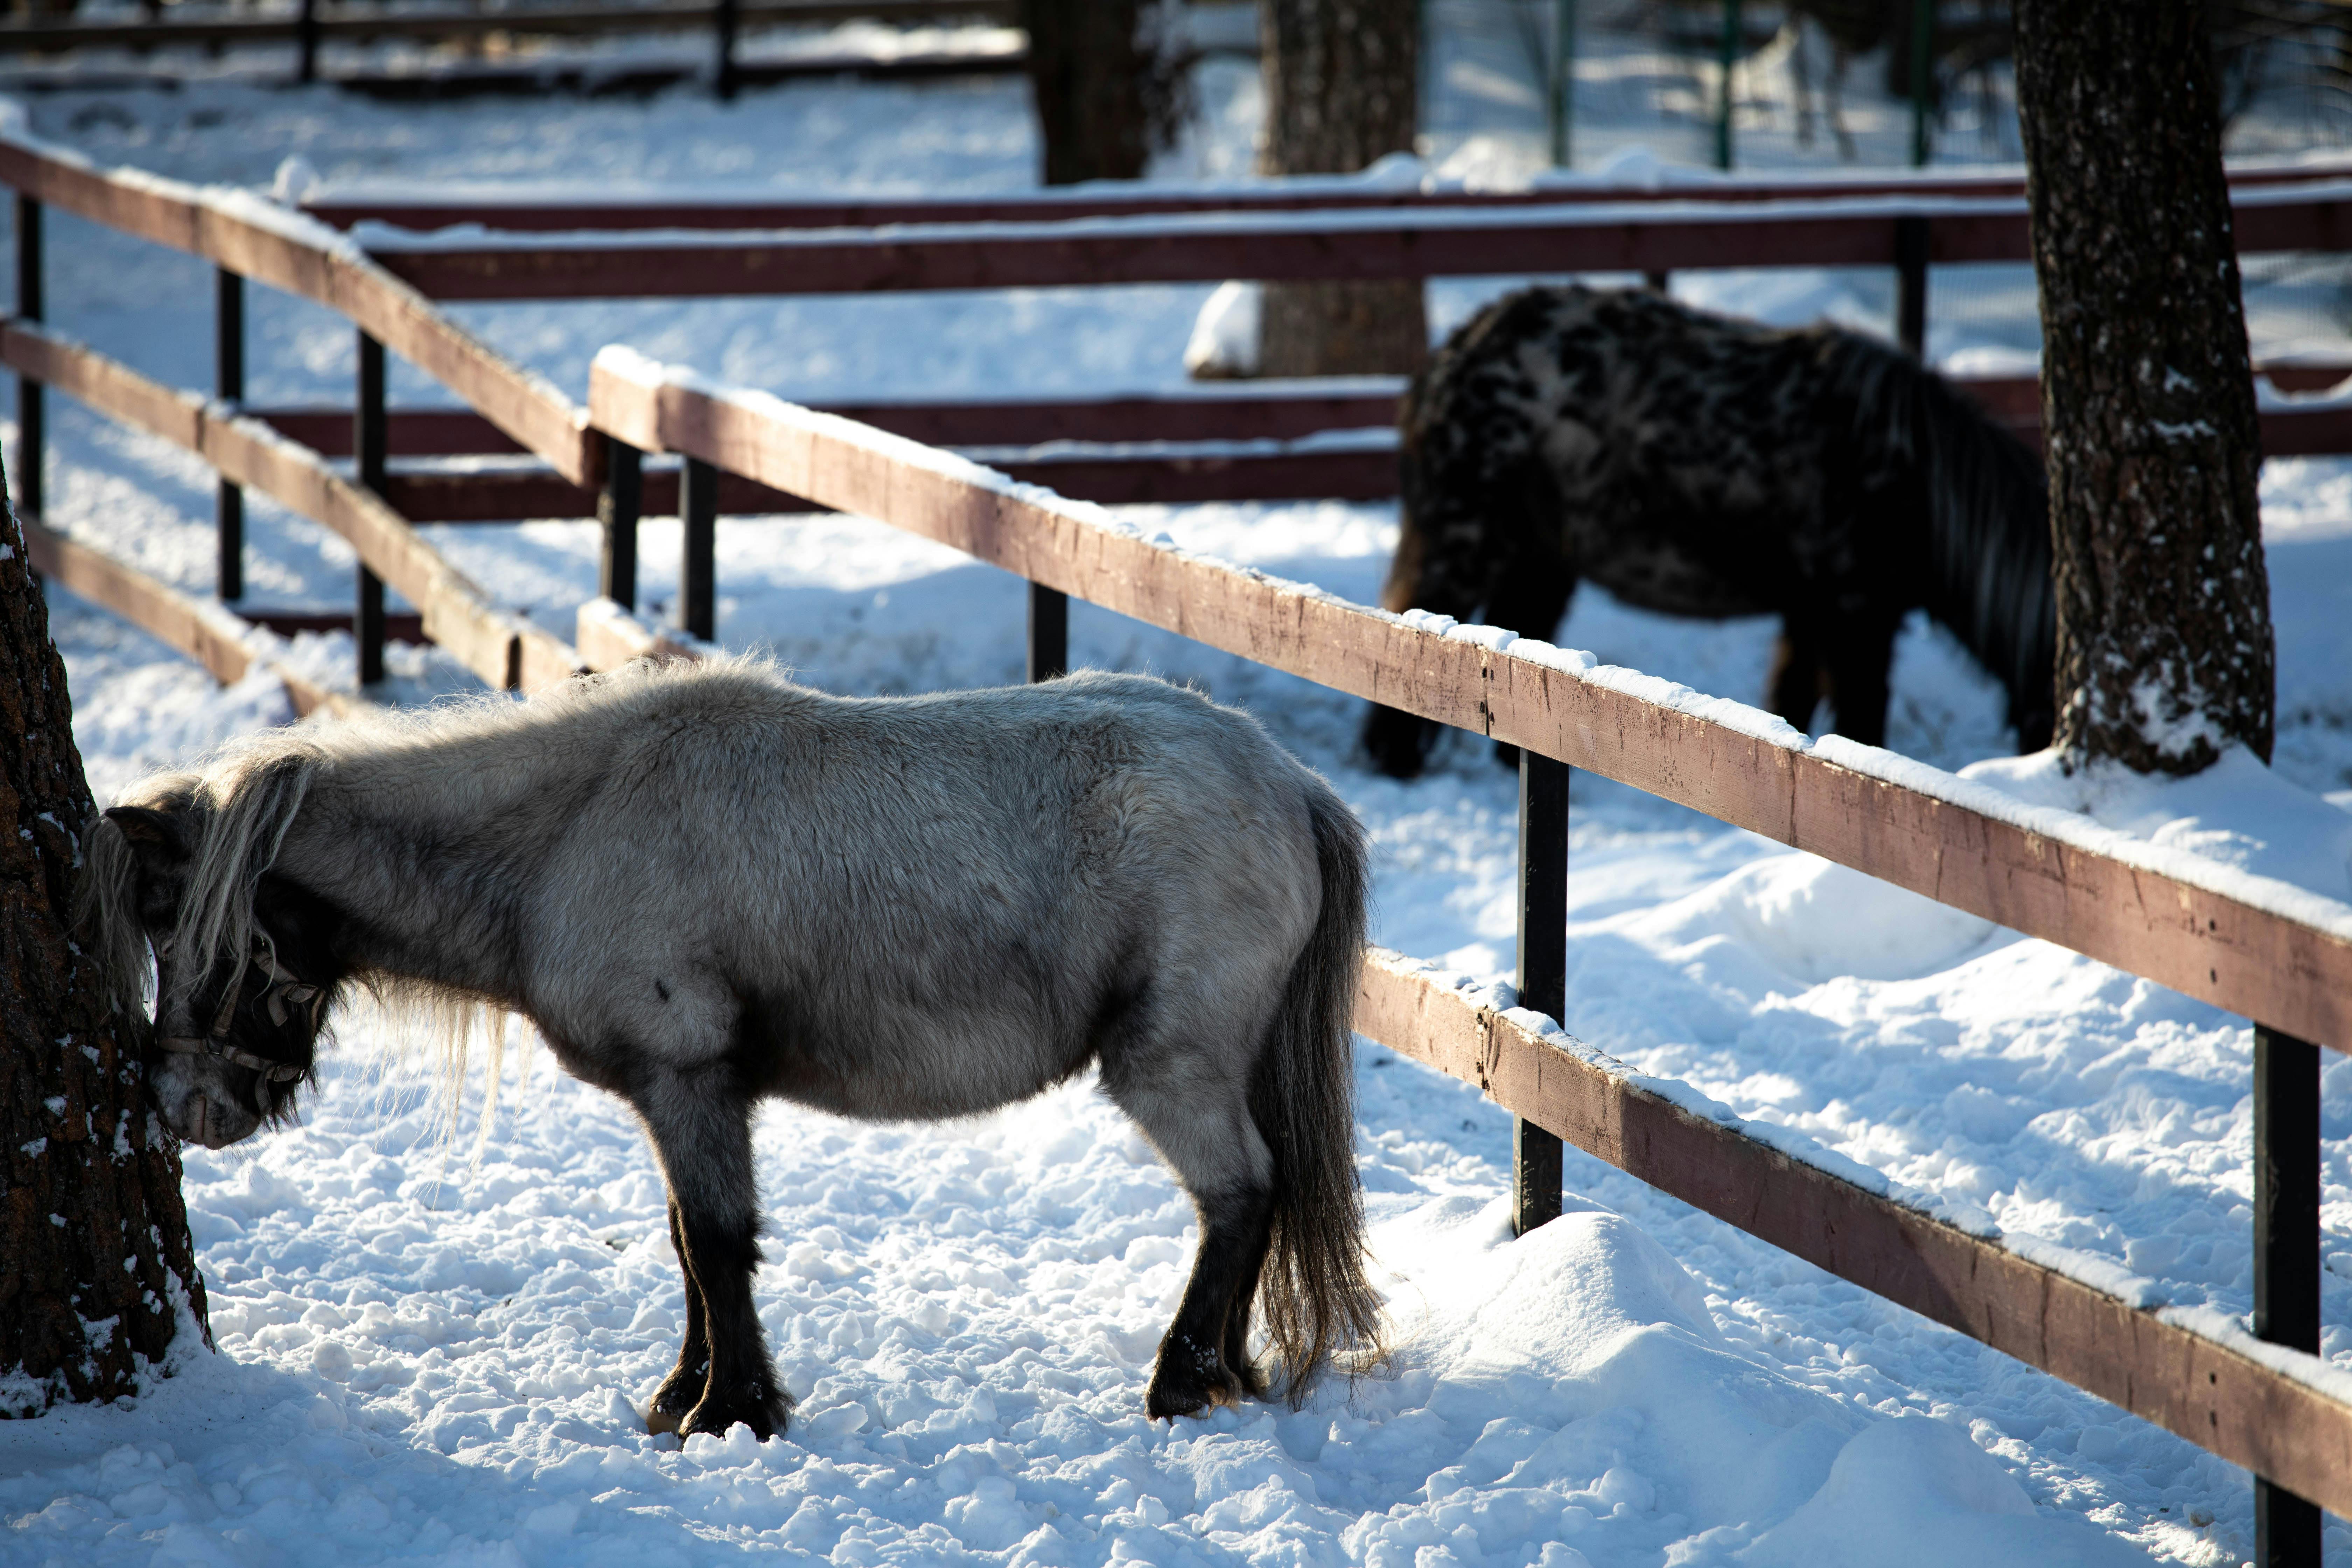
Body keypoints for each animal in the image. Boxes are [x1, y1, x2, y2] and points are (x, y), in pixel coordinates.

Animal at [1373, 286, 2051, 780]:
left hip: (1538, 561)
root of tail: (1451, 357)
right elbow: (1862, 718)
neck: (1912, 474)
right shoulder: (1855, 613)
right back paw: (1396, 763)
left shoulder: (1810, 610)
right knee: (1410, 631)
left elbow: (1792, 701)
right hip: (1465, 543)